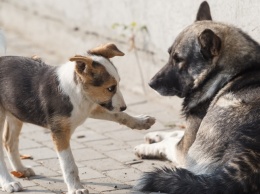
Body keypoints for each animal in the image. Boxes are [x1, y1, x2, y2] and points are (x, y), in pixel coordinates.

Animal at [0, 41, 154, 193]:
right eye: (110, 88)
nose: (124, 106)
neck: (77, 92)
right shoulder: (60, 133)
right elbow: (69, 165)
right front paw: (75, 188)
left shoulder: (91, 108)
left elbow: (119, 115)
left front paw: (141, 121)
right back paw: (9, 182)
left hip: (15, 112)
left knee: (9, 142)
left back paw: (21, 169)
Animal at [135, 1, 260, 194]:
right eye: (169, 54)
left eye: (179, 59)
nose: (151, 83)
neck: (226, 74)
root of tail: (252, 155)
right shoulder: (191, 132)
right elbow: (176, 132)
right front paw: (155, 135)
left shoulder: (185, 148)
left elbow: (171, 141)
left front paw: (147, 147)